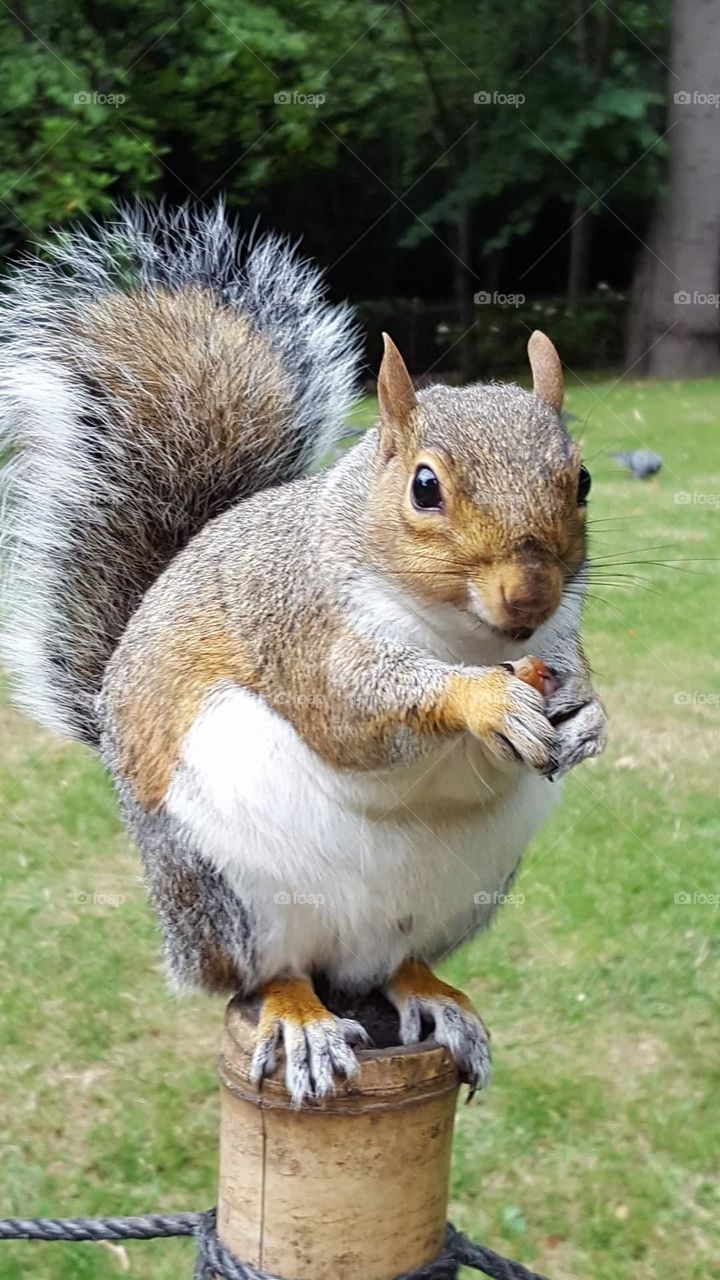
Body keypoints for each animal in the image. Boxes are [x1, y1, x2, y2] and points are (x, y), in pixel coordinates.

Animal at [0, 203, 607, 1105]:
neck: (461, 636)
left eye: (585, 481)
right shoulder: (302, 630)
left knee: (400, 964)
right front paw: (483, 700)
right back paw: (301, 1017)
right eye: (424, 486)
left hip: (468, 892)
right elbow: (353, 713)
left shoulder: (557, 638)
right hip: (232, 894)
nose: (529, 595)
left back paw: (432, 993)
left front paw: (592, 716)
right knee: (267, 972)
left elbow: (573, 677)